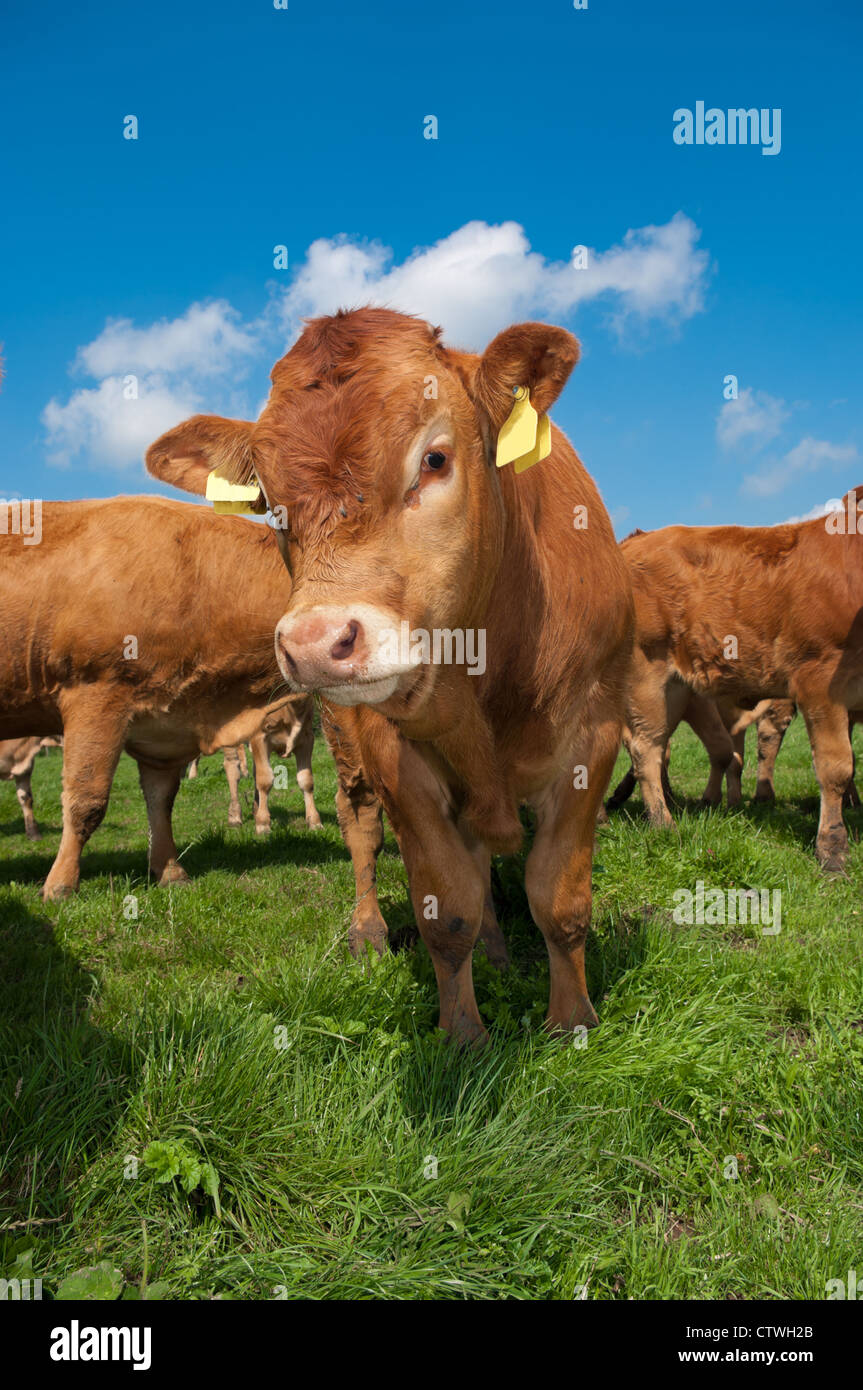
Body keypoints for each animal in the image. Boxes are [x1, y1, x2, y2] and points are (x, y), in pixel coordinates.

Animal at [0, 500, 326, 900]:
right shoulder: (95, 695)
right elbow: (85, 802)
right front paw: (60, 884)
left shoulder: (165, 727)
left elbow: (162, 800)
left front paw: (169, 870)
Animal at [146, 307, 633, 1045]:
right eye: (269, 503)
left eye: (434, 459)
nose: (316, 643)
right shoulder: (394, 754)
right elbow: (446, 907)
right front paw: (462, 1036)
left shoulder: (594, 734)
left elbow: (559, 899)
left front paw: (572, 1022)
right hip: (347, 750)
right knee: (364, 831)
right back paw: (371, 930)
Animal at [611, 500, 861, 867]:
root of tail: (636, 540)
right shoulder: (820, 678)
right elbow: (836, 768)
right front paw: (832, 851)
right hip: (646, 673)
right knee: (646, 747)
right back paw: (662, 823)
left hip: (677, 690)